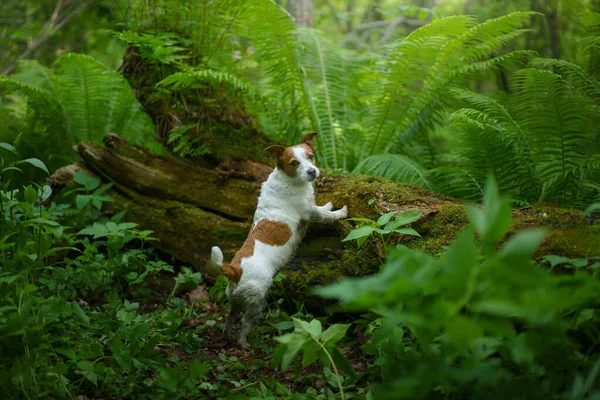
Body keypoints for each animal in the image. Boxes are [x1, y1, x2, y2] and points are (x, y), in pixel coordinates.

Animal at [211, 133, 346, 348]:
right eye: (294, 163)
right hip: (257, 300)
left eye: (310, 156)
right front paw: (340, 212)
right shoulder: (308, 212)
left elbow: (322, 209)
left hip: (235, 299)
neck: (289, 180)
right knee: (245, 323)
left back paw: (228, 336)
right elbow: (325, 215)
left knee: (230, 316)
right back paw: (243, 344)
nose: (312, 171)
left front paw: (329, 205)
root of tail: (234, 269)